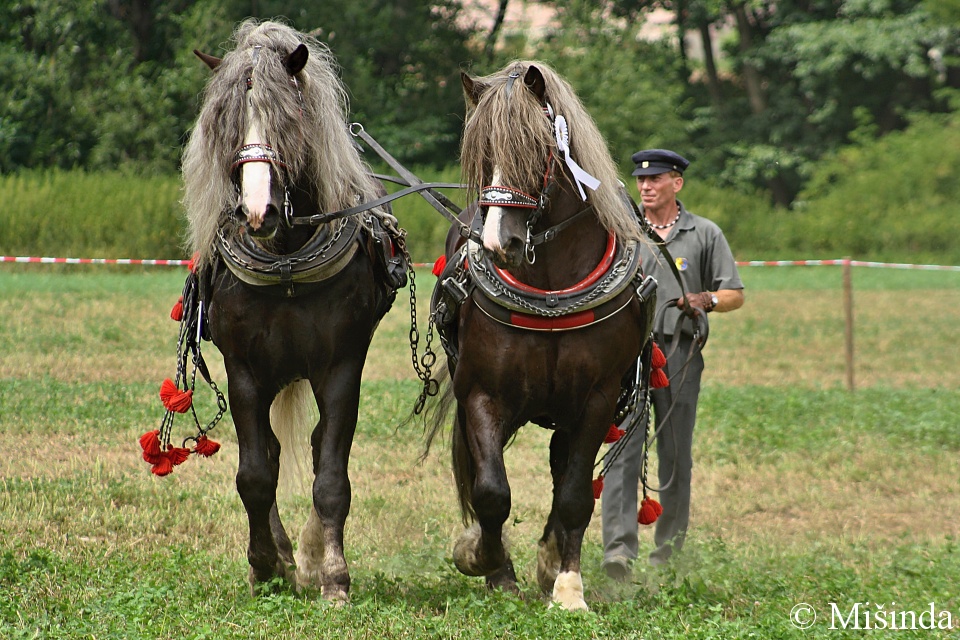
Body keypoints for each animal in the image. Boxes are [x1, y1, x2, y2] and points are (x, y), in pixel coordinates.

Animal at [182, 17, 406, 604]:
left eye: (289, 119)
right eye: (227, 123)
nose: (256, 211)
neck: (285, 261)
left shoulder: (342, 367)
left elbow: (330, 478)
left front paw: (332, 575)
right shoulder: (244, 371)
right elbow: (255, 475)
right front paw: (264, 564)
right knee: (274, 453)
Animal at [426, 60, 656, 608]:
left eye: (535, 149)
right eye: (482, 154)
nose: (498, 242)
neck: (551, 295)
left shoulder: (596, 400)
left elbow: (574, 496)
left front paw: (568, 587)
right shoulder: (482, 395)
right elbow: (491, 491)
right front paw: (489, 564)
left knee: (562, 472)